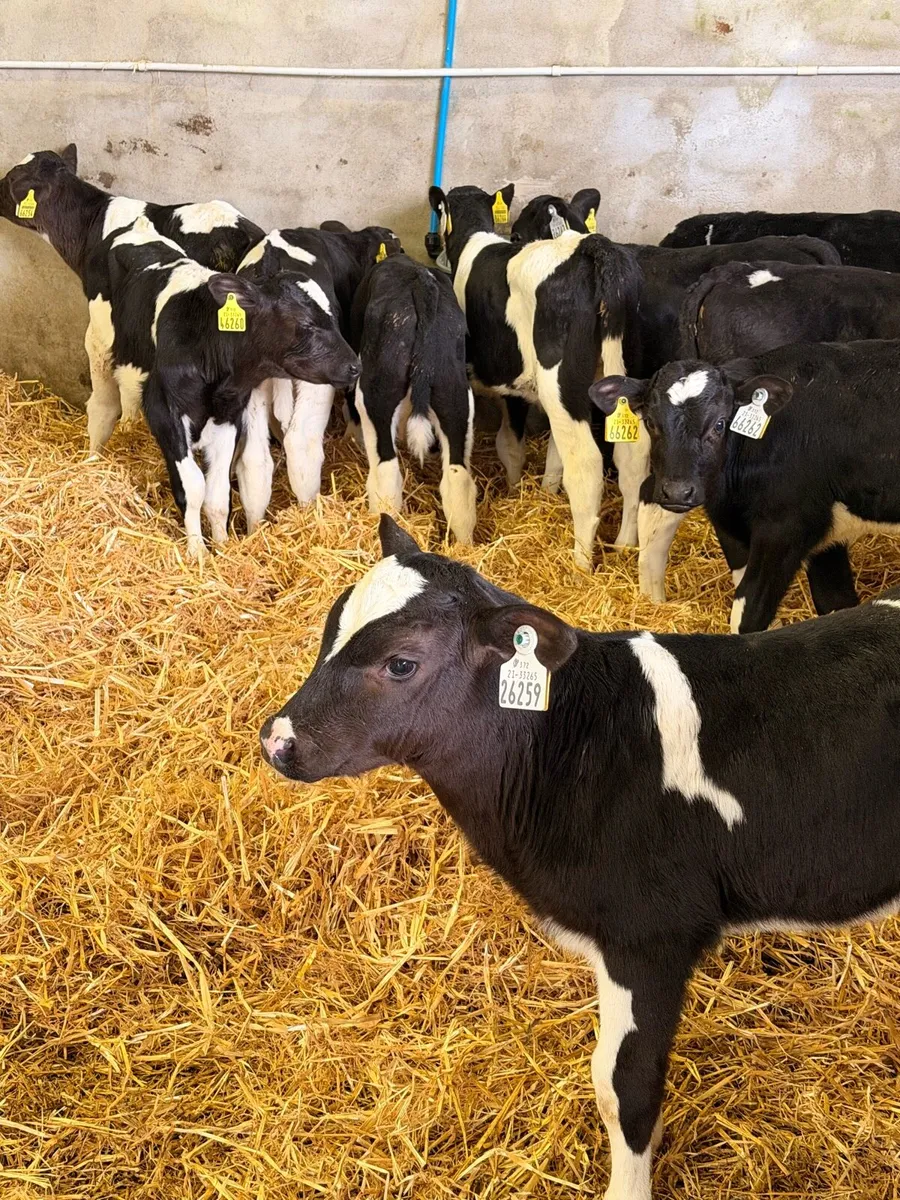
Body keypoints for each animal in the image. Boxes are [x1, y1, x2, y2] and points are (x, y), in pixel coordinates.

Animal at [83, 218, 359, 557]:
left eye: (334, 316)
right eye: (306, 324)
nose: (354, 365)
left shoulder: (228, 414)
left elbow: (217, 493)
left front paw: (222, 546)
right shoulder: (164, 412)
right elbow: (193, 486)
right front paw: (197, 552)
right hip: (98, 342)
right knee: (101, 408)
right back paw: (92, 461)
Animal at [260, 513, 900, 1200]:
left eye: (400, 663)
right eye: (332, 625)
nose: (277, 739)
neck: (573, 742)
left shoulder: (649, 935)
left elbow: (626, 1086)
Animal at [349, 251, 477, 543]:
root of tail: (421, 283)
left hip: (376, 396)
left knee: (386, 476)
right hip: (455, 398)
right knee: (458, 481)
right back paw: (464, 546)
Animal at [428, 182, 644, 567]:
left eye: (517, 234)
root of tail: (591, 247)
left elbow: (508, 445)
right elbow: (530, 450)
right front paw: (531, 493)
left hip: (561, 384)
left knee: (586, 464)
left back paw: (580, 563)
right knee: (630, 458)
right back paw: (623, 545)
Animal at [590, 341, 900, 632]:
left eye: (720, 424)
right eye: (651, 423)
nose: (678, 491)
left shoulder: (785, 525)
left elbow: (750, 613)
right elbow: (833, 601)